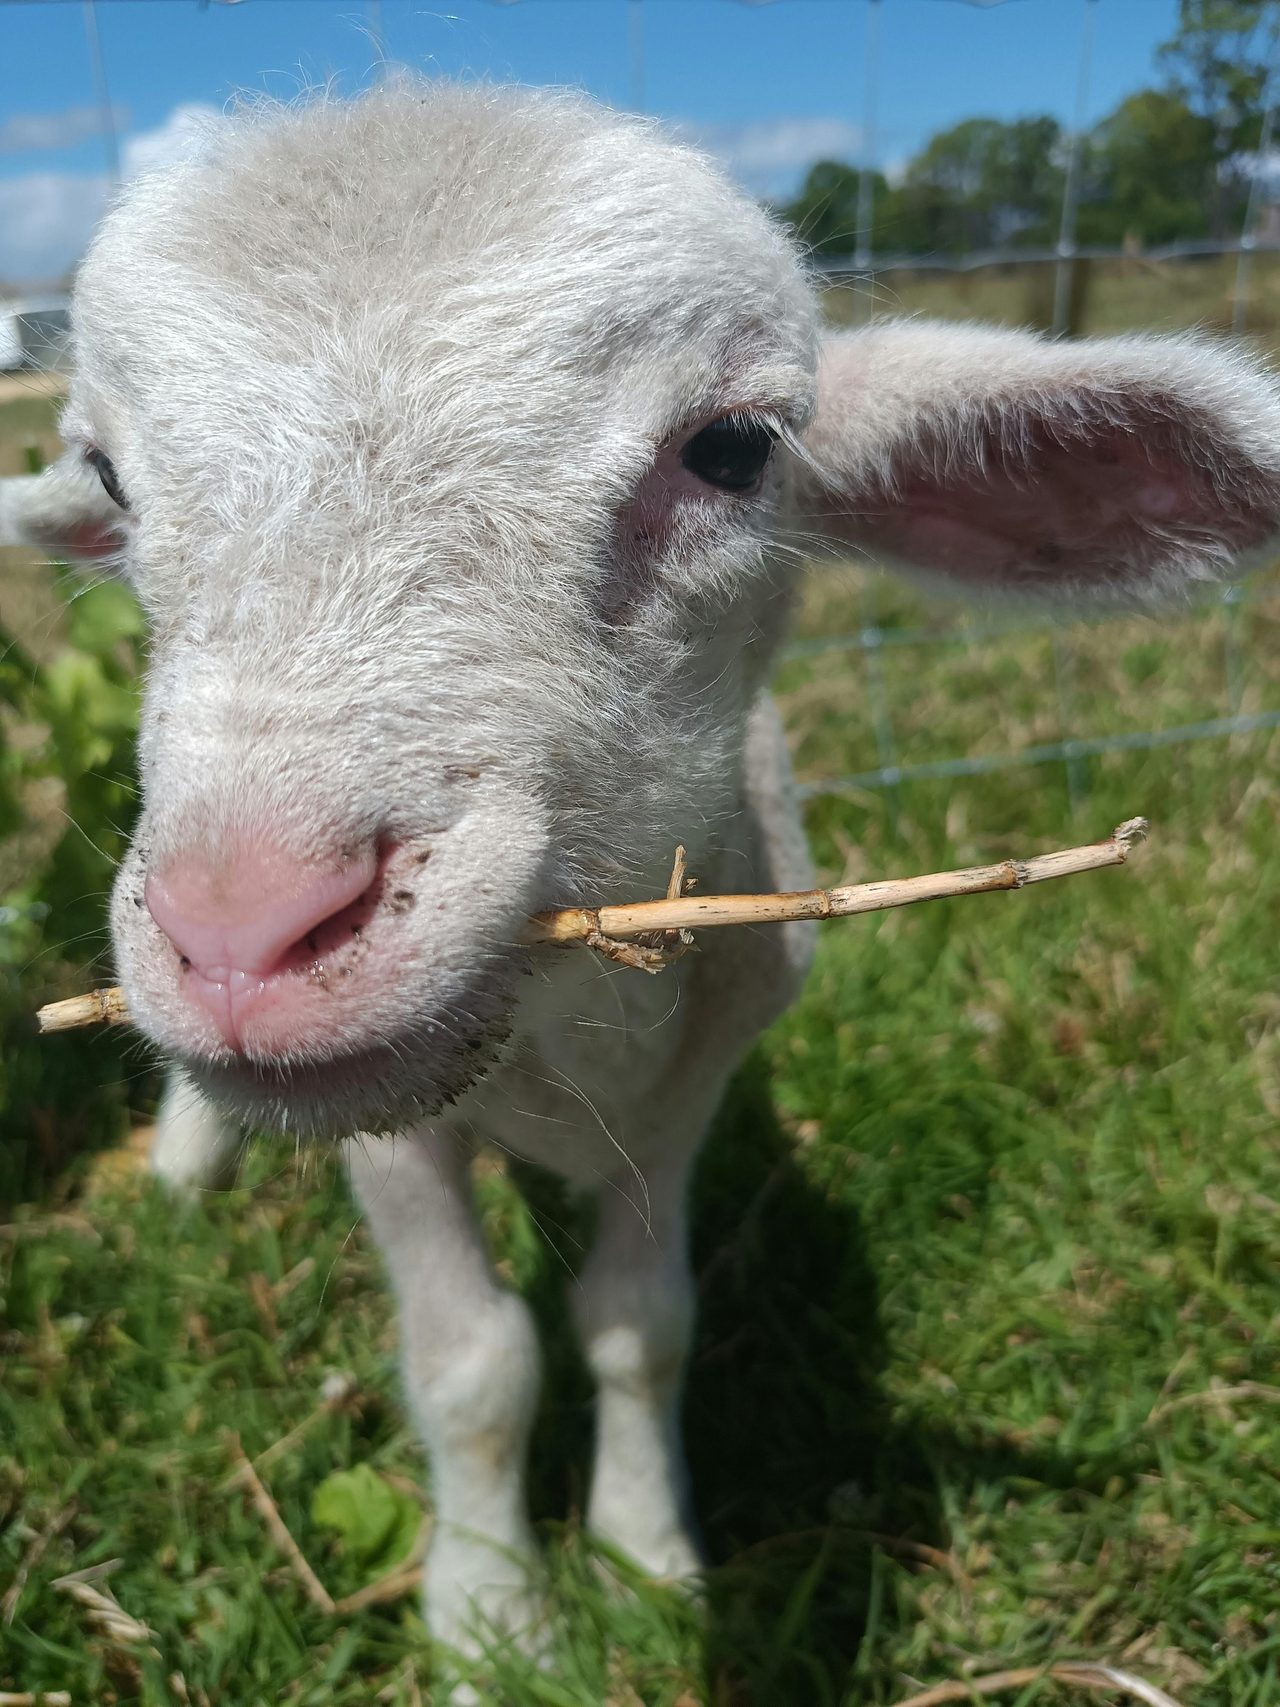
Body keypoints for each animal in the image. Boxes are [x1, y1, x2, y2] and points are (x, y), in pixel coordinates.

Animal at [6, 78, 1280, 1669]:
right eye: (112, 479)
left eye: (732, 449)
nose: (247, 933)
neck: (564, 1033)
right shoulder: (387, 1139)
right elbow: (473, 1358)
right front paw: (488, 1611)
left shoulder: (688, 1092)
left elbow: (637, 1324)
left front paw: (642, 1554)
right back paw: (185, 1163)